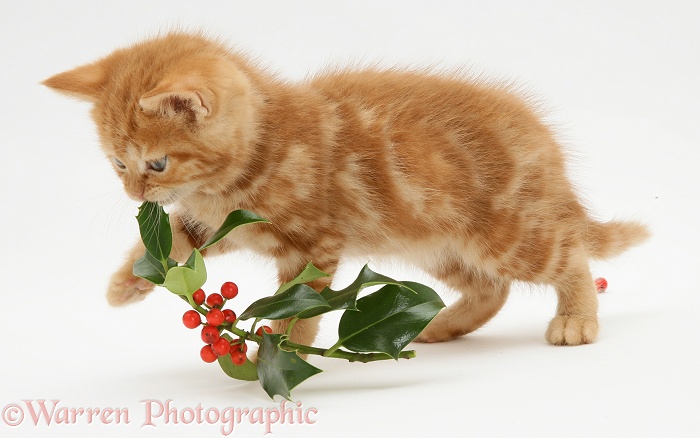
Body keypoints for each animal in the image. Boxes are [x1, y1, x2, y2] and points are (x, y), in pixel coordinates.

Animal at [43, 30, 648, 348]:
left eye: (158, 163)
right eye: (117, 162)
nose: (133, 195)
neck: (261, 149)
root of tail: (546, 152)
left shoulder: (312, 245)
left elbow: (302, 298)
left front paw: (285, 344)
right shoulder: (217, 225)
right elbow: (174, 240)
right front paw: (126, 283)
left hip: (508, 234)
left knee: (569, 254)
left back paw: (576, 318)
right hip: (435, 244)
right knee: (490, 287)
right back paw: (441, 325)